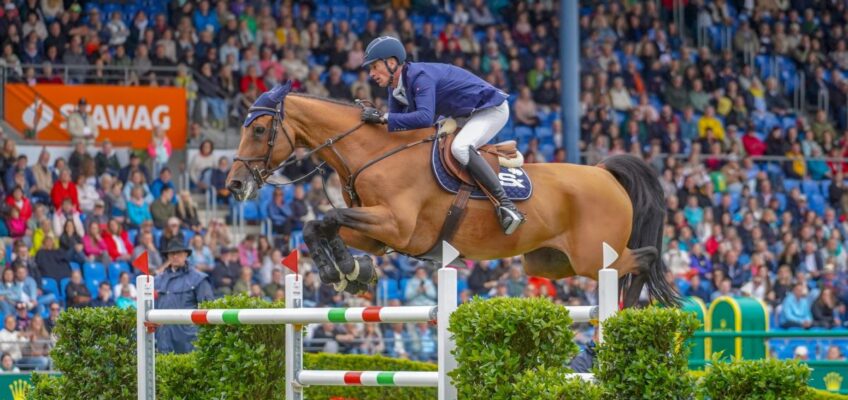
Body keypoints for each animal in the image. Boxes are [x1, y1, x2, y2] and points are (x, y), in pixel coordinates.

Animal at [225, 84, 684, 308]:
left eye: (260, 130)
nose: (234, 185)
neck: (373, 153)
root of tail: (605, 173)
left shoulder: (397, 225)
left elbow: (326, 218)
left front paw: (346, 271)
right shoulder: (377, 232)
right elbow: (318, 225)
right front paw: (349, 272)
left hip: (593, 257)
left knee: (643, 259)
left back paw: (625, 313)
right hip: (551, 263)